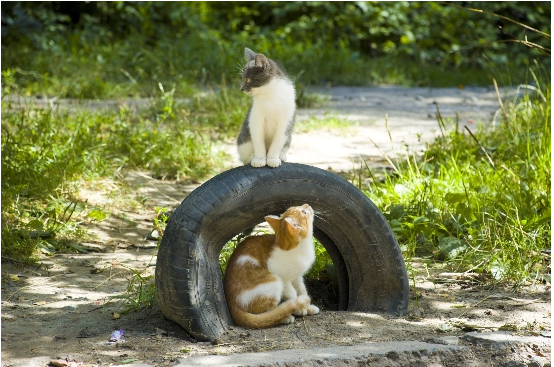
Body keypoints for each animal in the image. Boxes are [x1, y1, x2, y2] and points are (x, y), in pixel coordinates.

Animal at [153, 164, 408, 342]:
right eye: (303, 212)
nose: (308, 204)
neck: (298, 249)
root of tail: (232, 307)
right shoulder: (285, 279)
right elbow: (293, 295)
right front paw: (300, 308)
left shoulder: (298, 276)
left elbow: (303, 290)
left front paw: (309, 307)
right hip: (272, 281)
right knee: (265, 313)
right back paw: (285, 316)